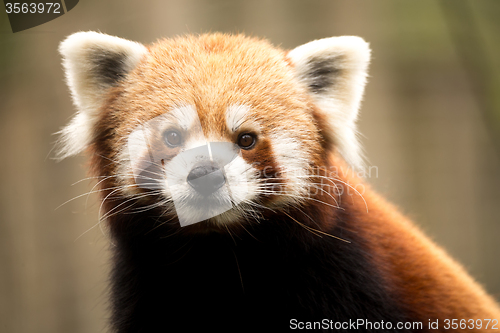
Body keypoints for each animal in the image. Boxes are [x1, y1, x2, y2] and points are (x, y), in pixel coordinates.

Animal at [56, 31, 498, 330]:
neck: (221, 257)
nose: (205, 174)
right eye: (173, 137)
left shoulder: (351, 278)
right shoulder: (149, 287)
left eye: (246, 139)